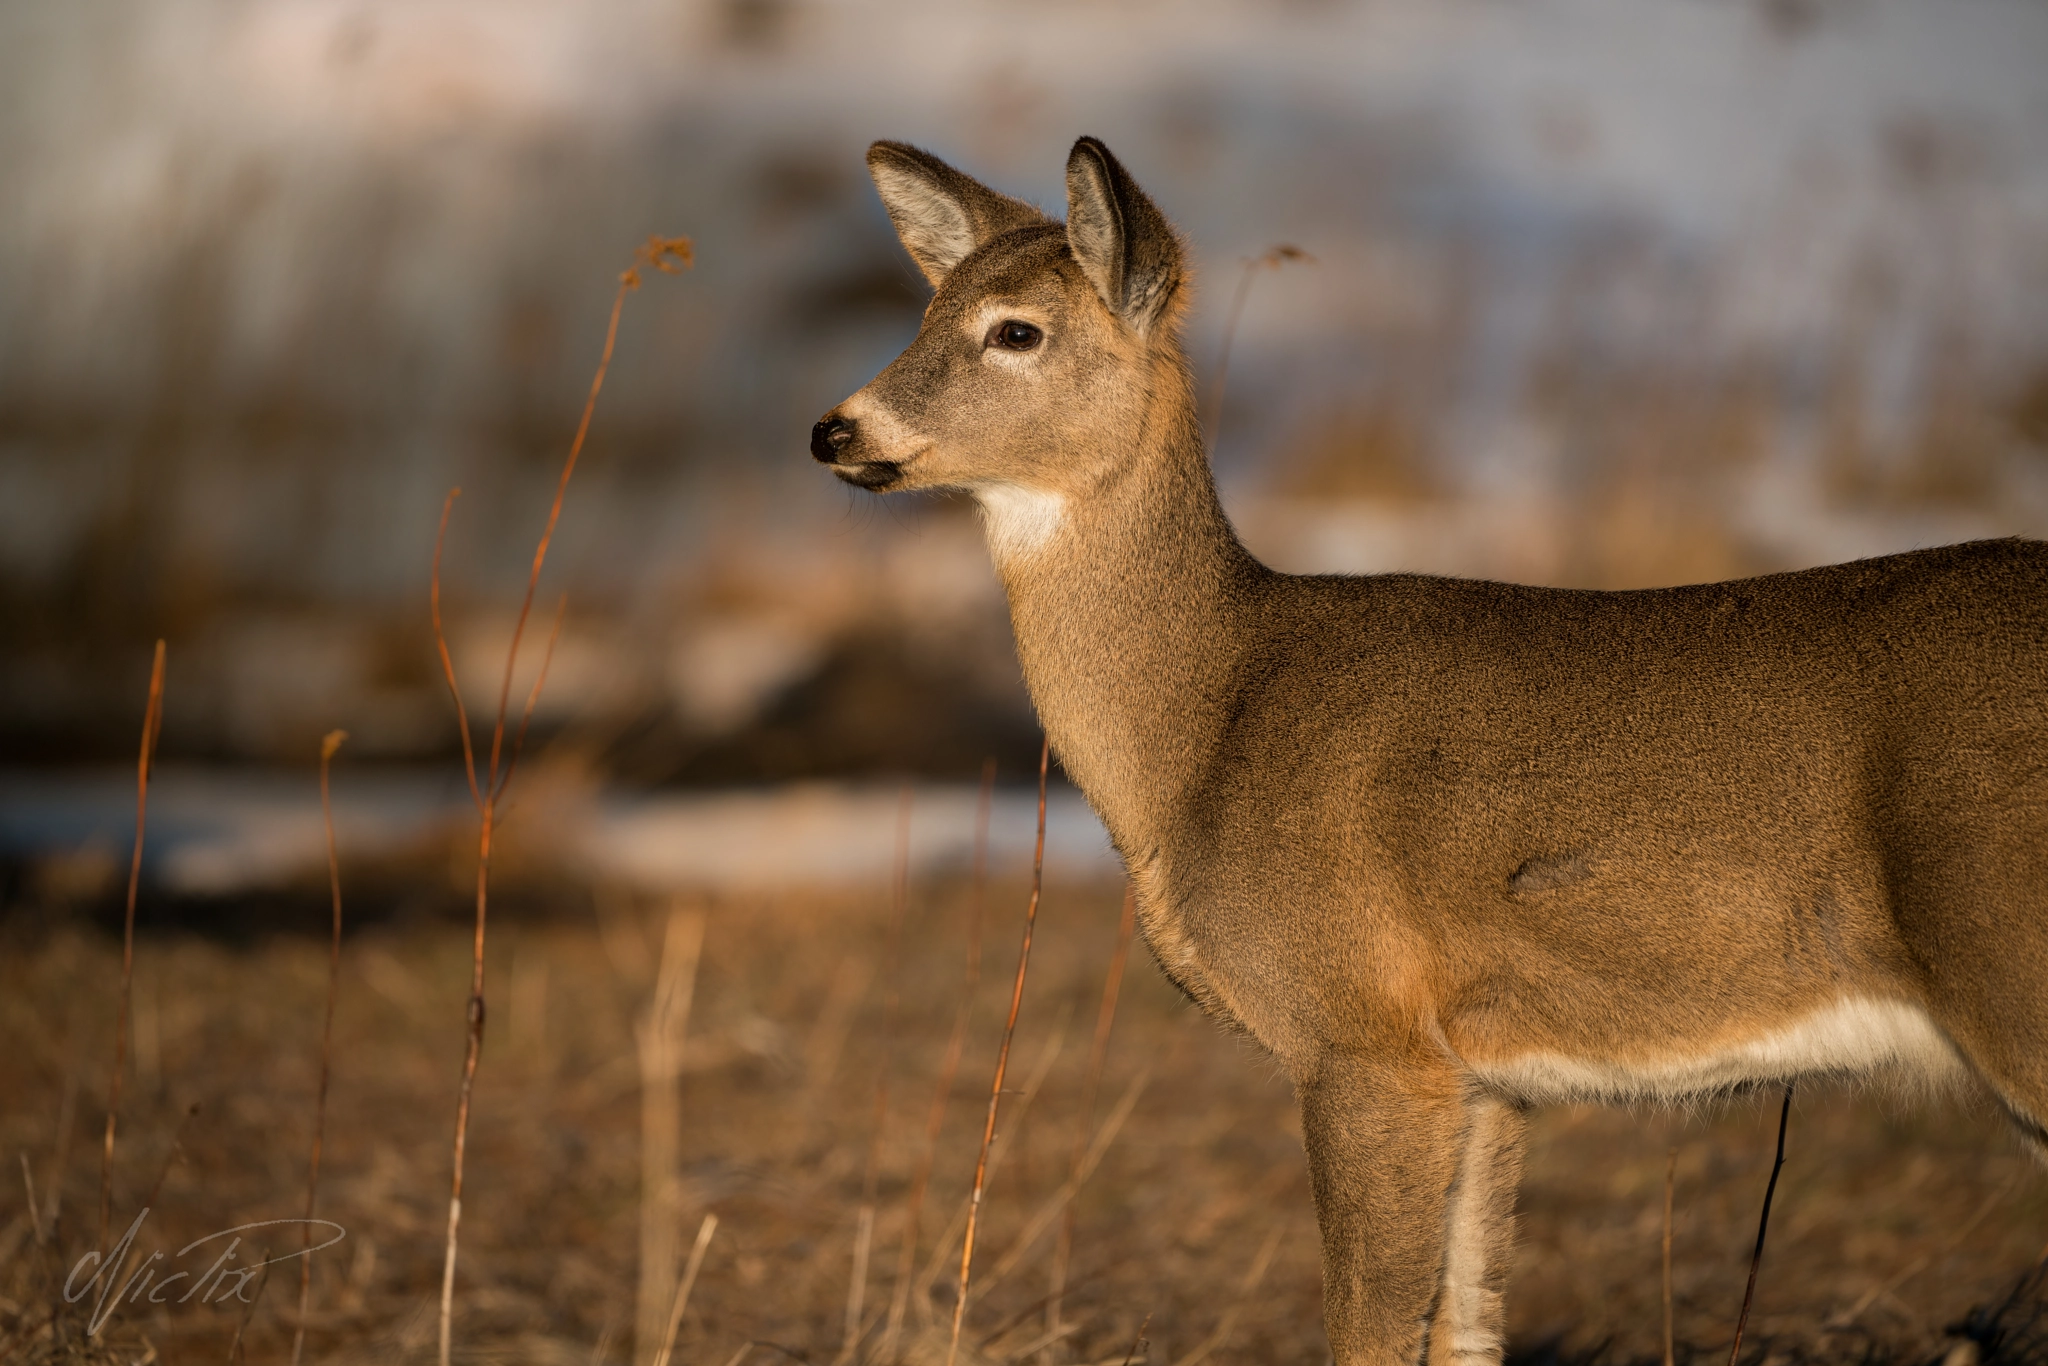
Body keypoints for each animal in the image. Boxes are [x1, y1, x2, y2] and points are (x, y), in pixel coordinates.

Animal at [808, 136, 2048, 1366]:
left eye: (1014, 329)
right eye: (928, 309)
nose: (833, 429)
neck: (1210, 723)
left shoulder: (1362, 1033)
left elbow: (1364, 1328)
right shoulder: (1480, 1075)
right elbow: (1464, 1325)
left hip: (2007, 954)